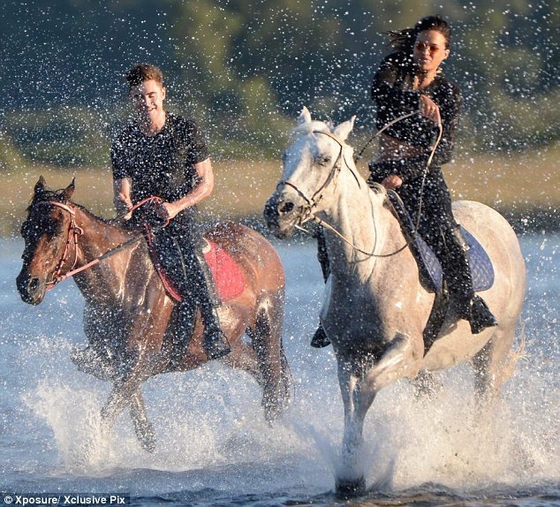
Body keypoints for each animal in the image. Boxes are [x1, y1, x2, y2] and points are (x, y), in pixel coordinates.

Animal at [16, 178, 288, 452]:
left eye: (56, 232)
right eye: (26, 230)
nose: (27, 285)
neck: (120, 285)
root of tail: (259, 239)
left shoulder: (140, 364)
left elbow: (107, 415)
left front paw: (91, 455)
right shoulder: (120, 364)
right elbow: (137, 419)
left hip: (267, 325)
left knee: (272, 384)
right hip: (229, 345)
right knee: (256, 368)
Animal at [262, 107, 524, 496]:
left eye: (323, 159)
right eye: (285, 156)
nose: (278, 210)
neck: (366, 267)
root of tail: (498, 220)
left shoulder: (406, 350)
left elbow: (365, 391)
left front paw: (358, 470)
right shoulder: (349, 354)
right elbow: (349, 401)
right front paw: (350, 474)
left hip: (494, 347)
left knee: (484, 399)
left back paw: (470, 458)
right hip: (428, 369)